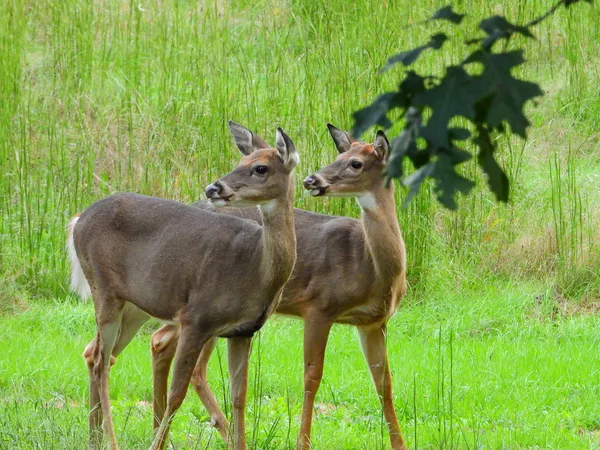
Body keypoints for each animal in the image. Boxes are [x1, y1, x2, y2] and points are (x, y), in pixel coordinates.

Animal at [67, 122, 298, 450]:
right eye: (240, 161)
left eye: (260, 168)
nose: (214, 188)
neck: (256, 267)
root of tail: (77, 220)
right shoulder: (195, 318)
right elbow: (177, 395)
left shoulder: (244, 331)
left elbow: (239, 398)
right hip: (104, 288)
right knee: (101, 361)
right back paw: (110, 442)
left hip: (135, 307)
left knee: (93, 352)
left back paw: (93, 439)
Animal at [150, 124, 408, 450]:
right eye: (340, 156)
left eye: (355, 163)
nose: (313, 180)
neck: (372, 267)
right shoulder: (319, 306)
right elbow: (312, 376)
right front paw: (302, 442)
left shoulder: (373, 322)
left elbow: (384, 382)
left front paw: (400, 444)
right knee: (181, 356)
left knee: (164, 344)